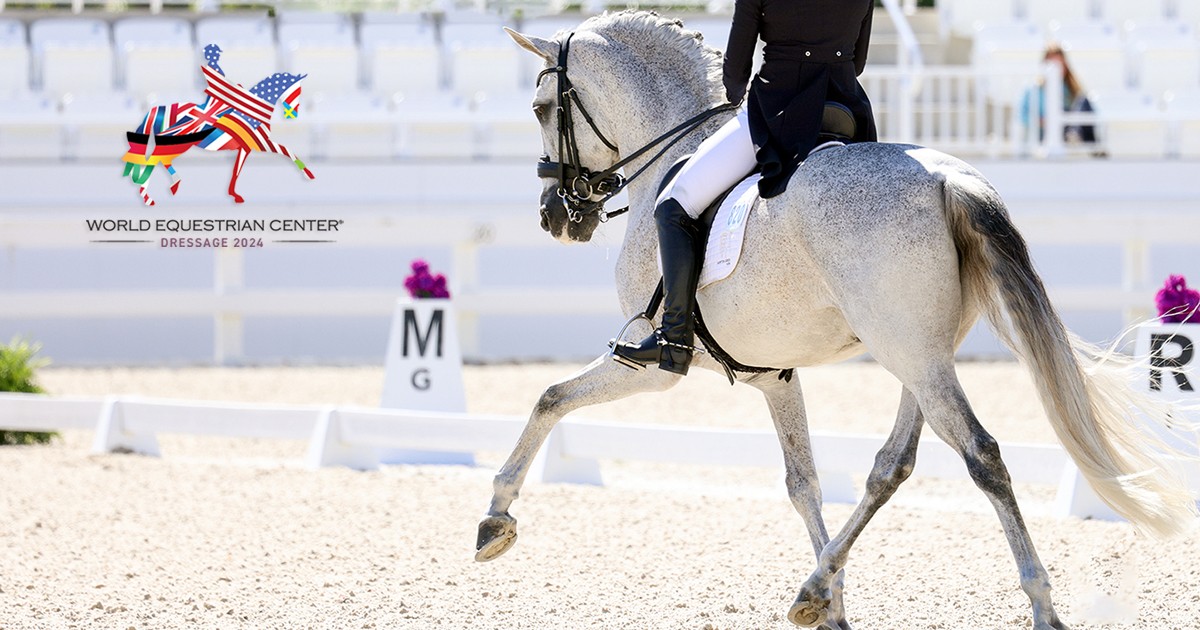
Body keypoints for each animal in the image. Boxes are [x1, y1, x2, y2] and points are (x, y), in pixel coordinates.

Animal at [121, 69, 314, 206]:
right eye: (297, 91)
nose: (294, 114)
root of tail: (157, 109)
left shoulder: (247, 148)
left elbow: (237, 170)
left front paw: (234, 195)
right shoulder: (259, 143)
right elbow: (285, 150)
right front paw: (308, 174)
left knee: (161, 160)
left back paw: (165, 188)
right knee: (156, 160)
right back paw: (152, 195)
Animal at [473, 10, 1196, 629]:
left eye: (541, 109)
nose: (556, 216)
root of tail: (947, 178)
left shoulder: (651, 366)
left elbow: (550, 396)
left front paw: (495, 519)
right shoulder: (772, 374)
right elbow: (805, 483)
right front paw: (835, 607)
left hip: (910, 354)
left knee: (982, 454)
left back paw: (1041, 605)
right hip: (919, 355)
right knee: (892, 465)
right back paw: (815, 588)